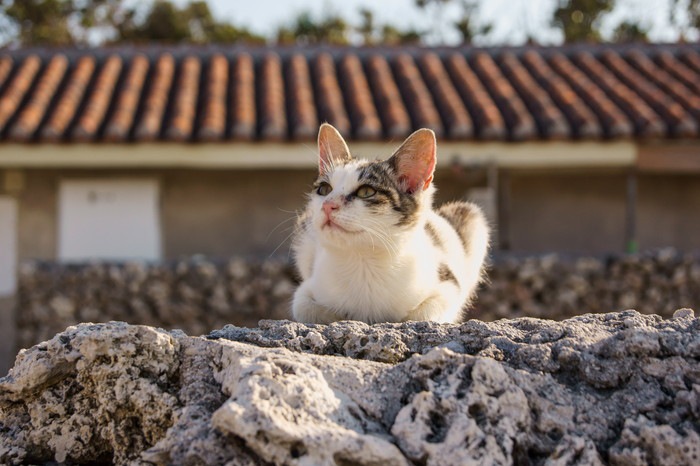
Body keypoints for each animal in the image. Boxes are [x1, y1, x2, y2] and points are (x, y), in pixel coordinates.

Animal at [292, 123, 490, 324]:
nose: (327, 205)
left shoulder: (448, 284)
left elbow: (424, 314)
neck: (363, 261)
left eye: (366, 192)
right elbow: (304, 307)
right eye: (324, 189)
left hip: (470, 216)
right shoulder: (306, 289)